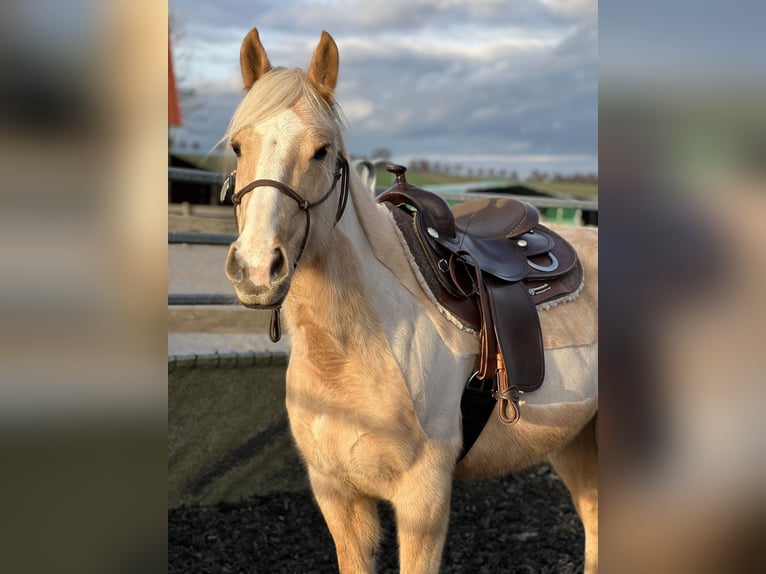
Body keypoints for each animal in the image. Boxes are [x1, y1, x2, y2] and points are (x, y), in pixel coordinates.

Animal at [224, 28, 600, 574]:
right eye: (237, 146)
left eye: (322, 150)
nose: (256, 269)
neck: (353, 352)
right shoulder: (337, 496)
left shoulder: (423, 501)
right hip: (577, 441)